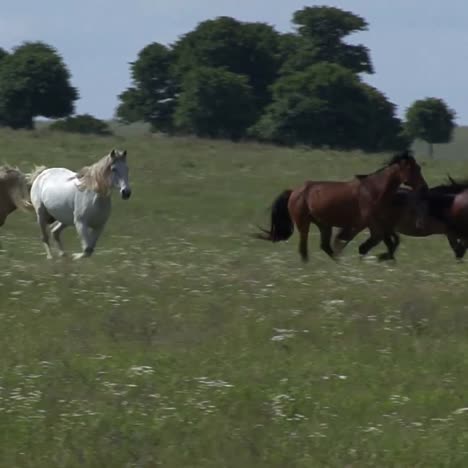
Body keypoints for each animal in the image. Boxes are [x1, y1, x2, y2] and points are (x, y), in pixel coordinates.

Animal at [256, 150, 428, 262]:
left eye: (419, 168)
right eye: (413, 169)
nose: (424, 188)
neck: (374, 190)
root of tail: (294, 191)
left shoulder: (380, 223)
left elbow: (391, 241)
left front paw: (385, 257)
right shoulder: (369, 224)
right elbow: (368, 241)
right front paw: (378, 256)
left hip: (324, 225)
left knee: (326, 246)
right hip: (303, 223)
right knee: (304, 249)